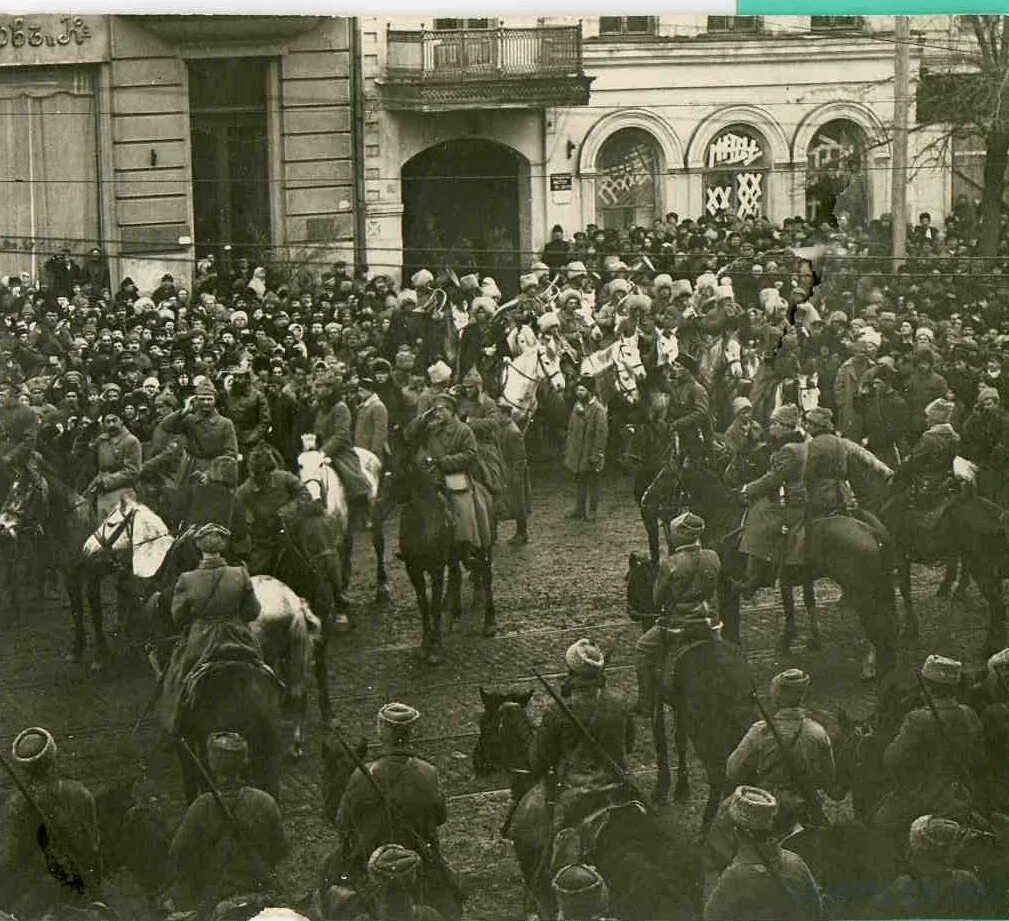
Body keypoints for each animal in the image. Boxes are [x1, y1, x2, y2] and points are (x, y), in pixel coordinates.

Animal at [296, 443, 387, 605]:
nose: (311, 498)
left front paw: (338, 597)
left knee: (378, 544)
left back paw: (382, 587)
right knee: (348, 548)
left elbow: (334, 560)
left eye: (320, 464)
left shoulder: (336, 535)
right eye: (300, 465)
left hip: (375, 512)